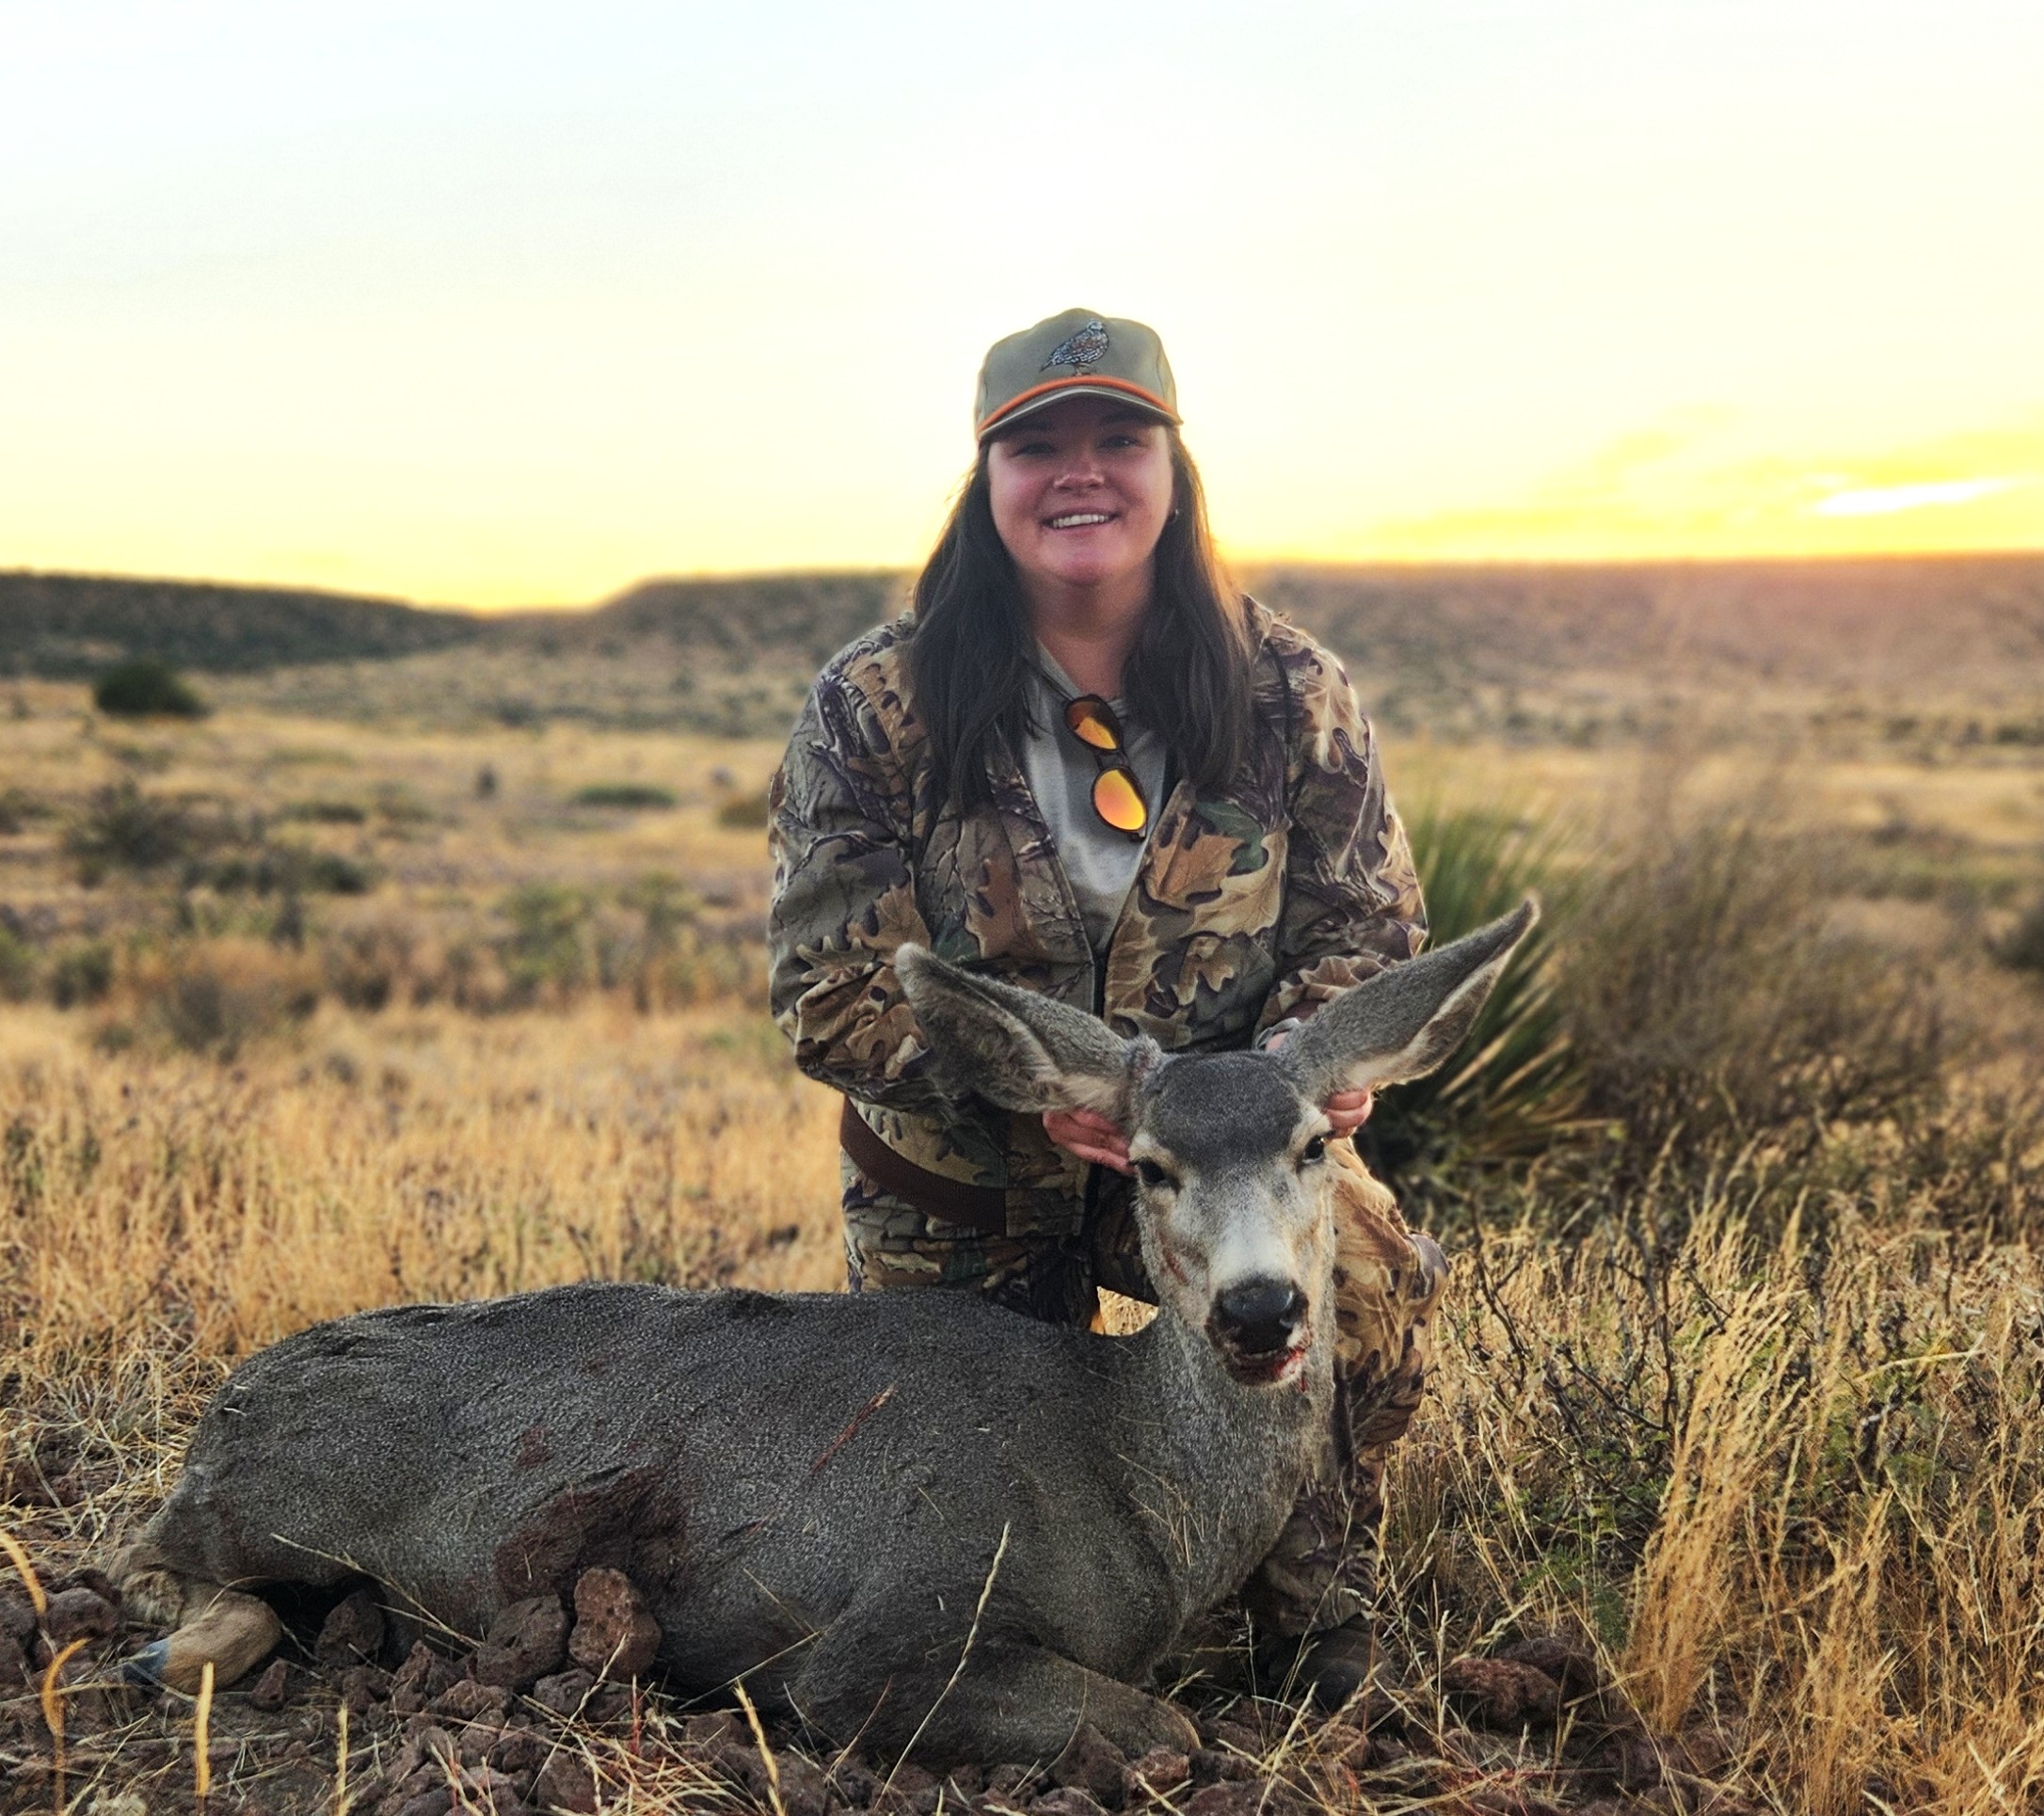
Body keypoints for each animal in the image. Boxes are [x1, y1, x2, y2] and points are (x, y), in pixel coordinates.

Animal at [112, 903, 1534, 1767]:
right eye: (1149, 1163)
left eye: (1312, 1144)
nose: (1259, 1308)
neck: (1137, 1480)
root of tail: (228, 1403)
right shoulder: (882, 1631)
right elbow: (1165, 1733)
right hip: (268, 1509)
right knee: (159, 1560)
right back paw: (176, 1648)